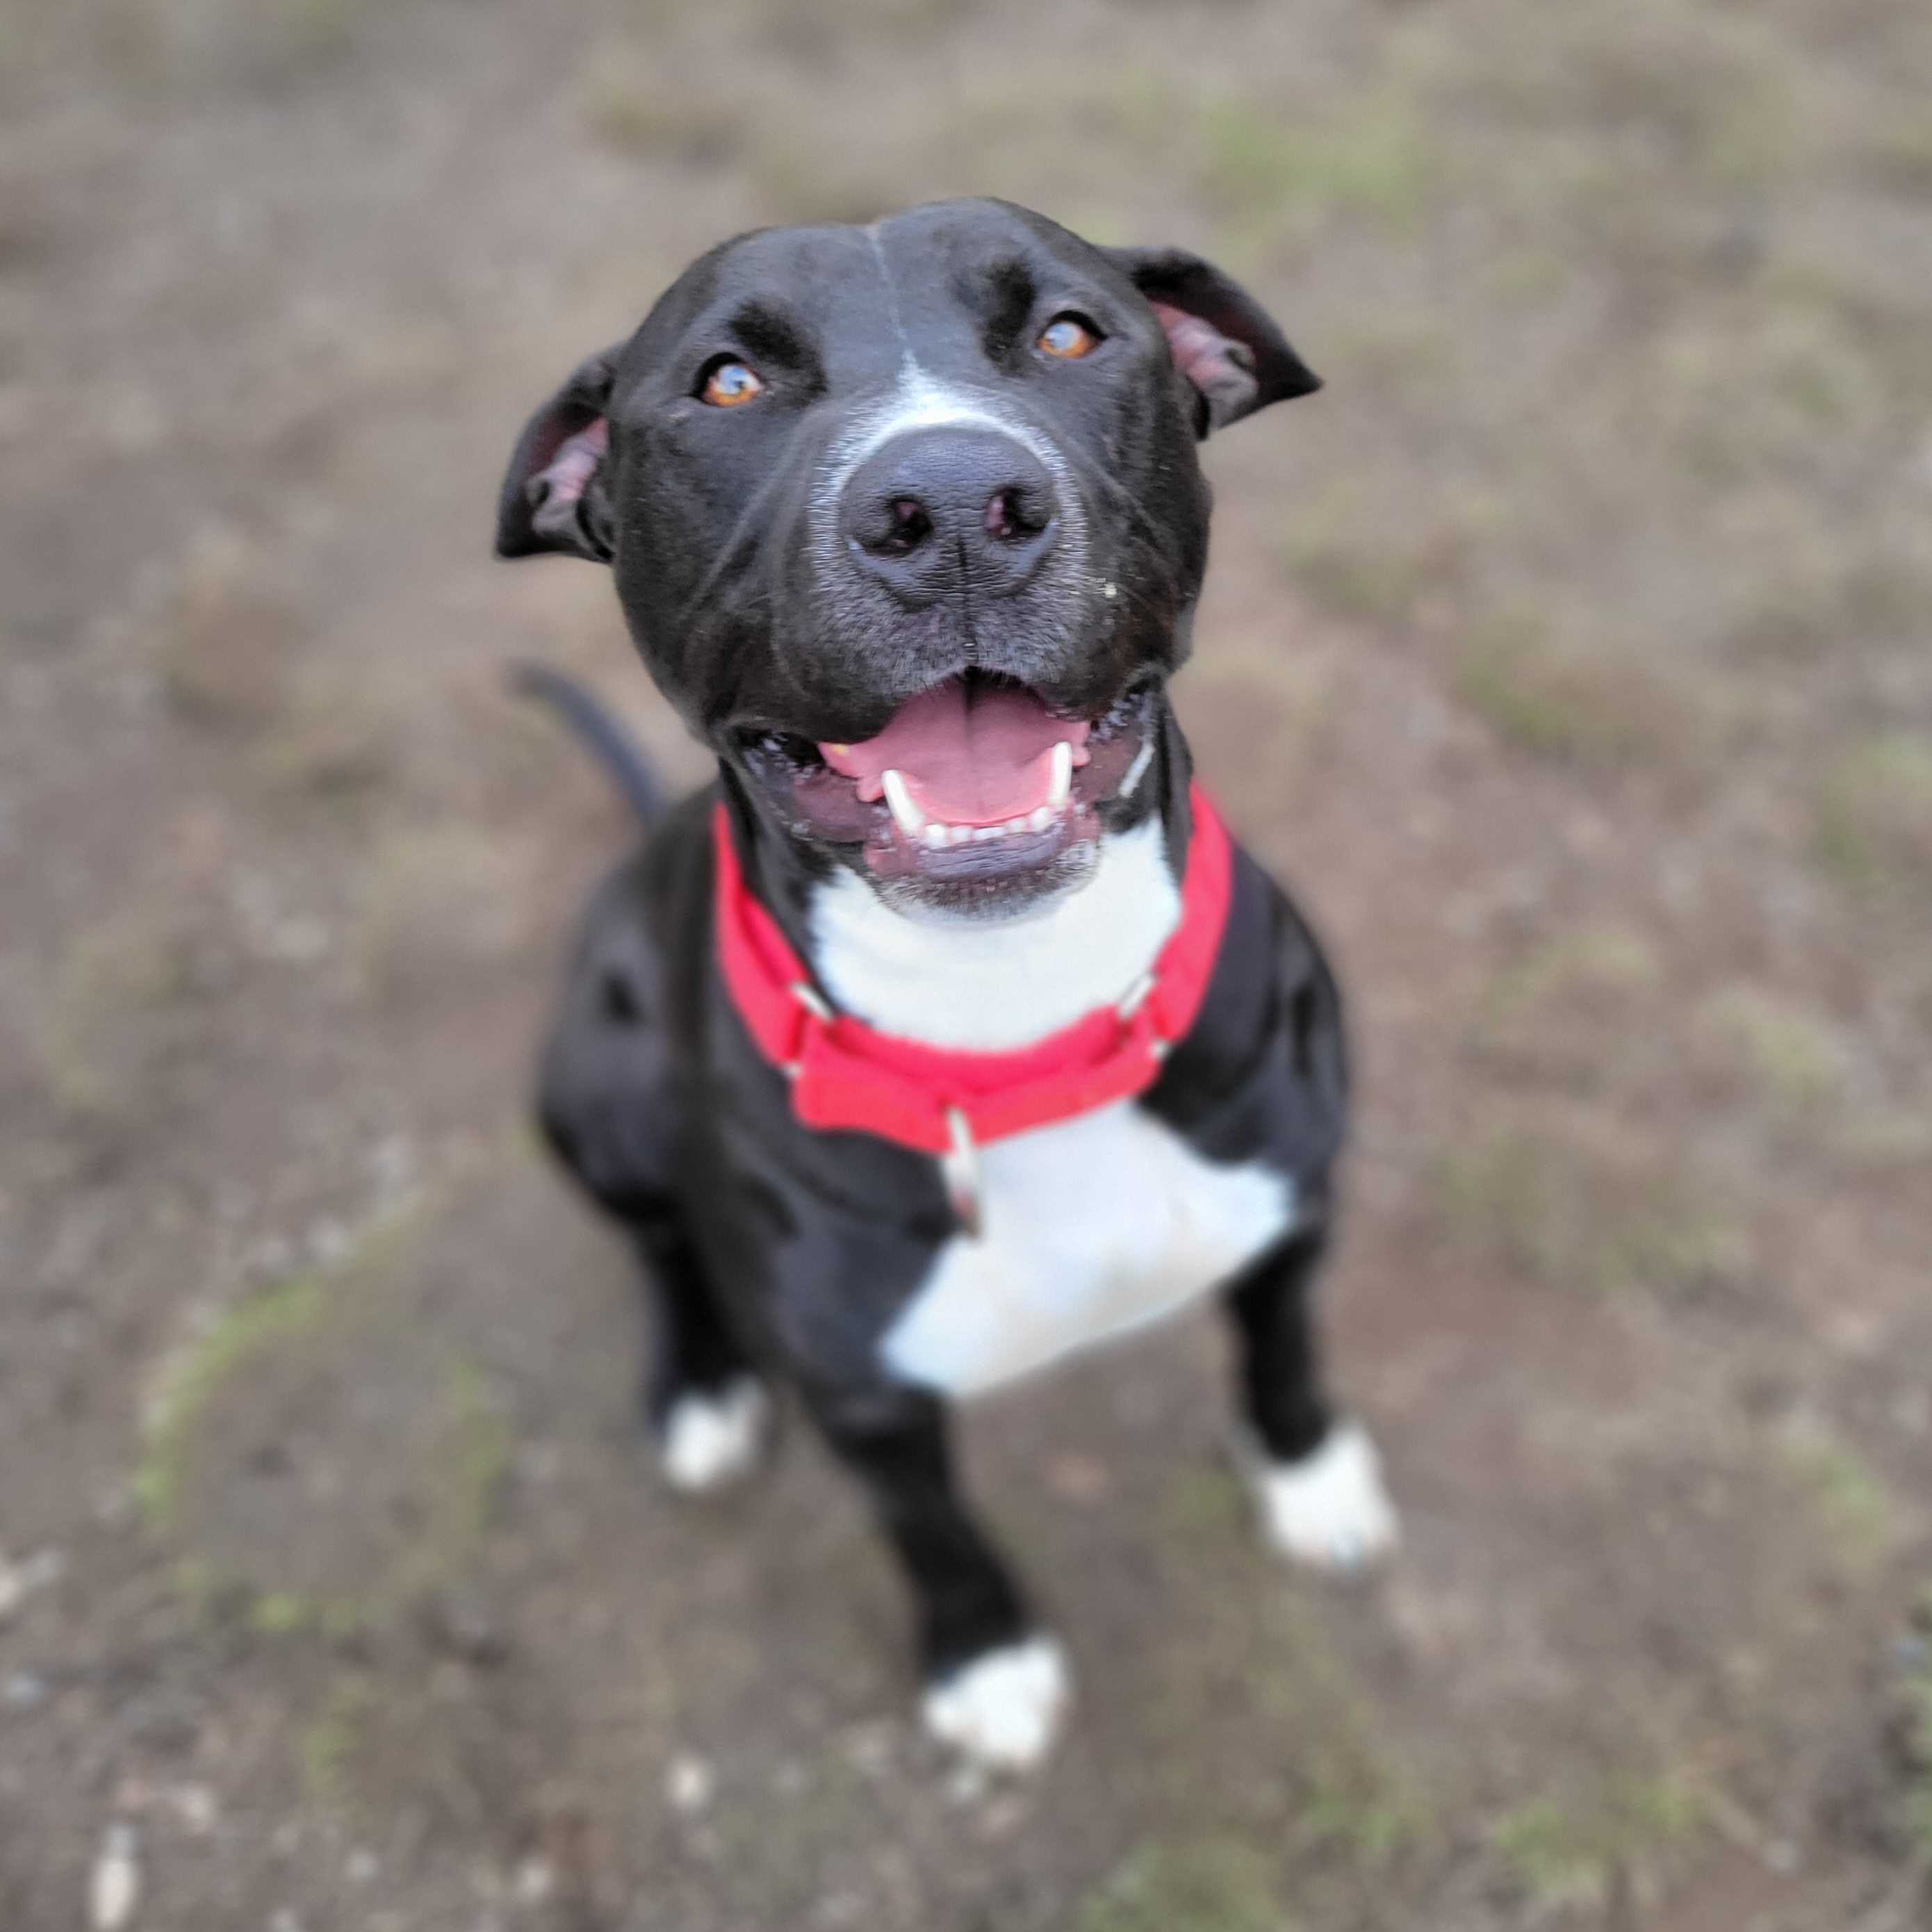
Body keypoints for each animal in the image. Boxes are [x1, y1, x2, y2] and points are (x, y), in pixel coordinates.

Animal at [498, 196, 1398, 1769]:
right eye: (727, 379)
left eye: (1069, 334)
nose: (957, 503)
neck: (1015, 1022)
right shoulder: (866, 1398)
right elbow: (934, 1531)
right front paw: (984, 1657)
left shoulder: (1294, 1208)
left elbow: (1282, 1351)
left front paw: (1308, 1473)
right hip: (593, 1081)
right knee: (658, 1245)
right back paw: (701, 1389)